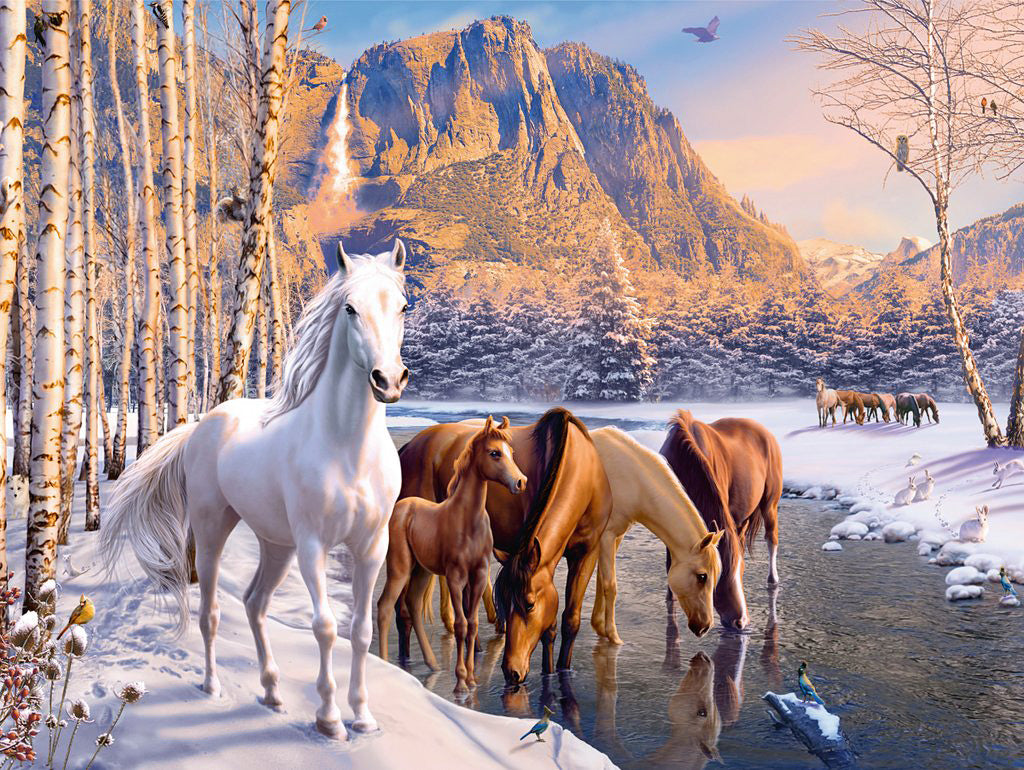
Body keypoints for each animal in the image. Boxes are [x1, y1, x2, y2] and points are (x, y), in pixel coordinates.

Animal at [102, 241, 410, 738]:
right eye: (349, 309)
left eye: (402, 306)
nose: (389, 381)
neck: (348, 450)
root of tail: (204, 424)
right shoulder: (313, 545)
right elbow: (325, 627)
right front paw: (330, 720)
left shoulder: (371, 547)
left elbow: (360, 631)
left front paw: (363, 718)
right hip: (213, 531)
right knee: (210, 611)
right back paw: (212, 687)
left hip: (276, 545)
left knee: (254, 603)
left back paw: (272, 691)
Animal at [375, 417, 527, 693]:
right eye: (494, 453)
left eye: (512, 452)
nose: (521, 482)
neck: (468, 519)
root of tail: (401, 507)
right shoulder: (456, 577)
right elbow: (460, 625)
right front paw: (461, 682)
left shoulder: (478, 575)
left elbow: (473, 624)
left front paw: (472, 679)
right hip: (400, 568)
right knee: (385, 606)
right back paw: (386, 664)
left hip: (422, 571)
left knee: (413, 604)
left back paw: (433, 664)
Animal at [396, 409, 612, 685]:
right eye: (504, 602)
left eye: (529, 604)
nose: (511, 672)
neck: (581, 469)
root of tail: (409, 448)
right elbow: (550, 628)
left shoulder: (587, 553)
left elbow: (569, 620)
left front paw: (559, 670)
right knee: (402, 609)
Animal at [588, 427, 723, 644]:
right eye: (702, 576)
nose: (704, 627)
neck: (631, 477)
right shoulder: (606, 536)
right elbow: (610, 584)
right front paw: (614, 637)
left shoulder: (615, 537)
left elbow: (601, 580)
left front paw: (600, 628)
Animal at [659, 410, 783, 631]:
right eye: (708, 576)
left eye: (741, 572)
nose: (740, 621)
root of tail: (767, 434)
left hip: (770, 504)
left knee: (772, 539)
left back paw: (773, 580)